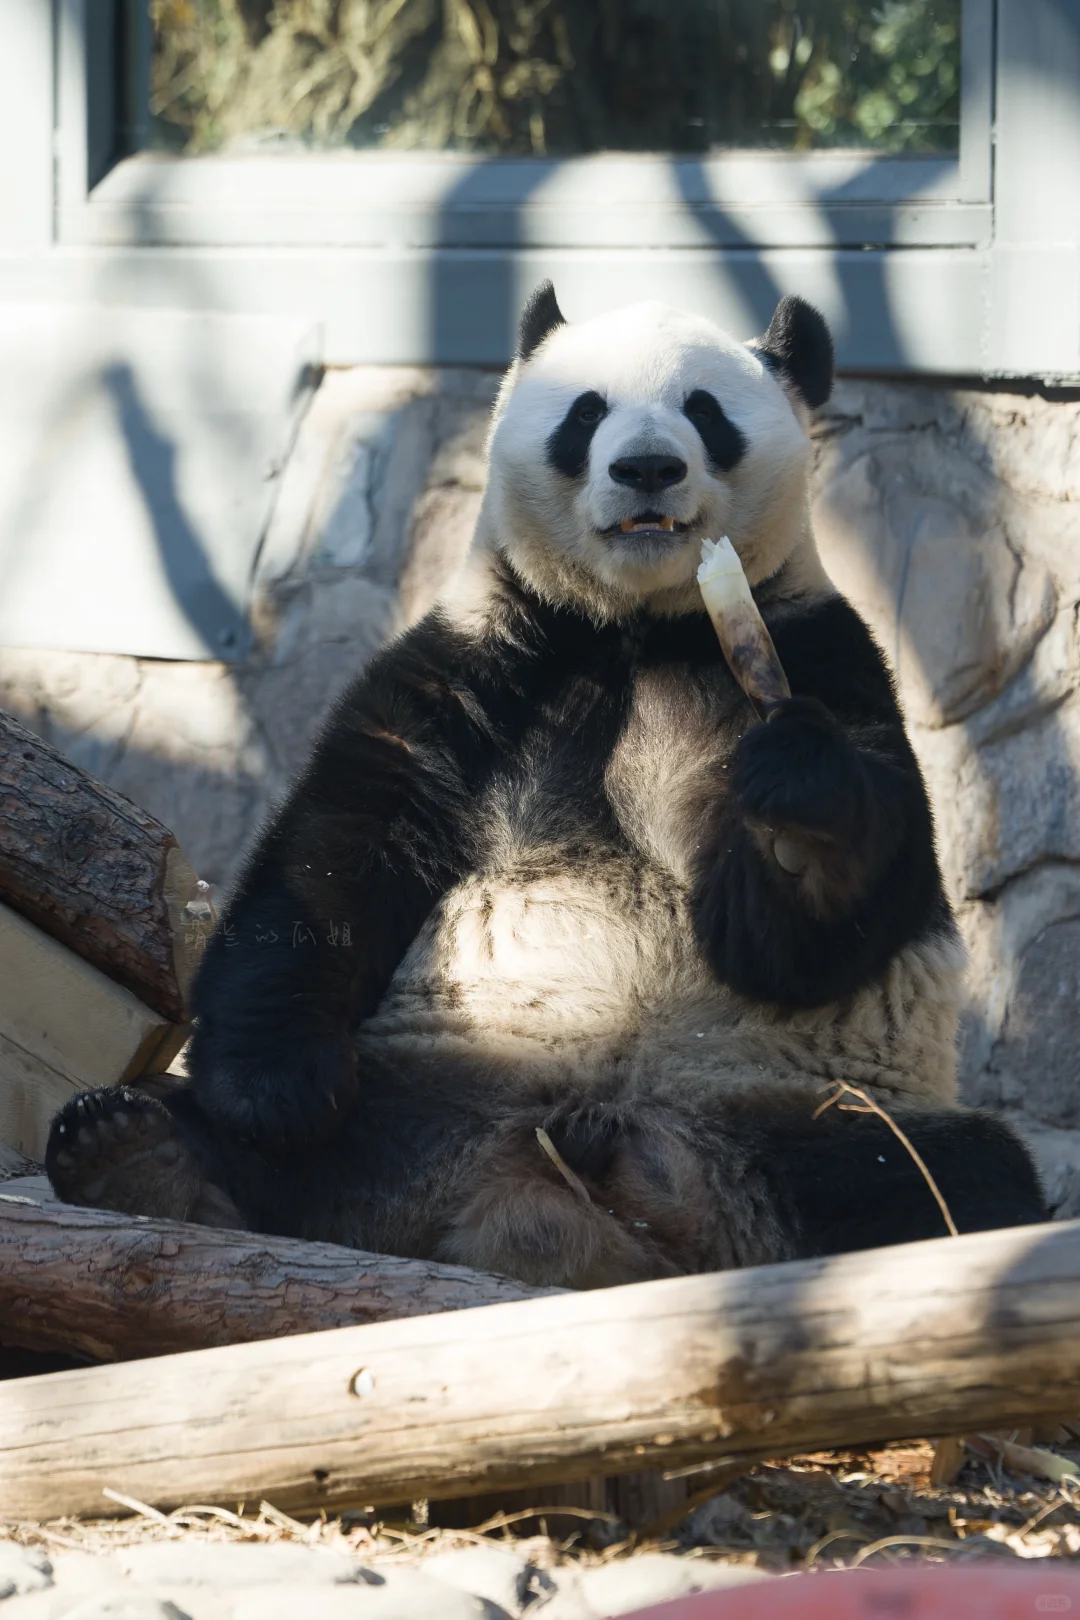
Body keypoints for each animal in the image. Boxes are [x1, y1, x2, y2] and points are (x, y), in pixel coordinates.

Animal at [44, 285, 1049, 1283]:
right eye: (586, 412)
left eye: (704, 411)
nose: (647, 468)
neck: (640, 625)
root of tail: (516, 1188)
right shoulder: (482, 659)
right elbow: (336, 847)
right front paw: (276, 1091)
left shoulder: (823, 654)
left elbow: (805, 938)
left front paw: (797, 816)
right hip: (433, 1069)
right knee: (267, 1137)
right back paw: (138, 1152)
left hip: (807, 1101)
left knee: (945, 1174)